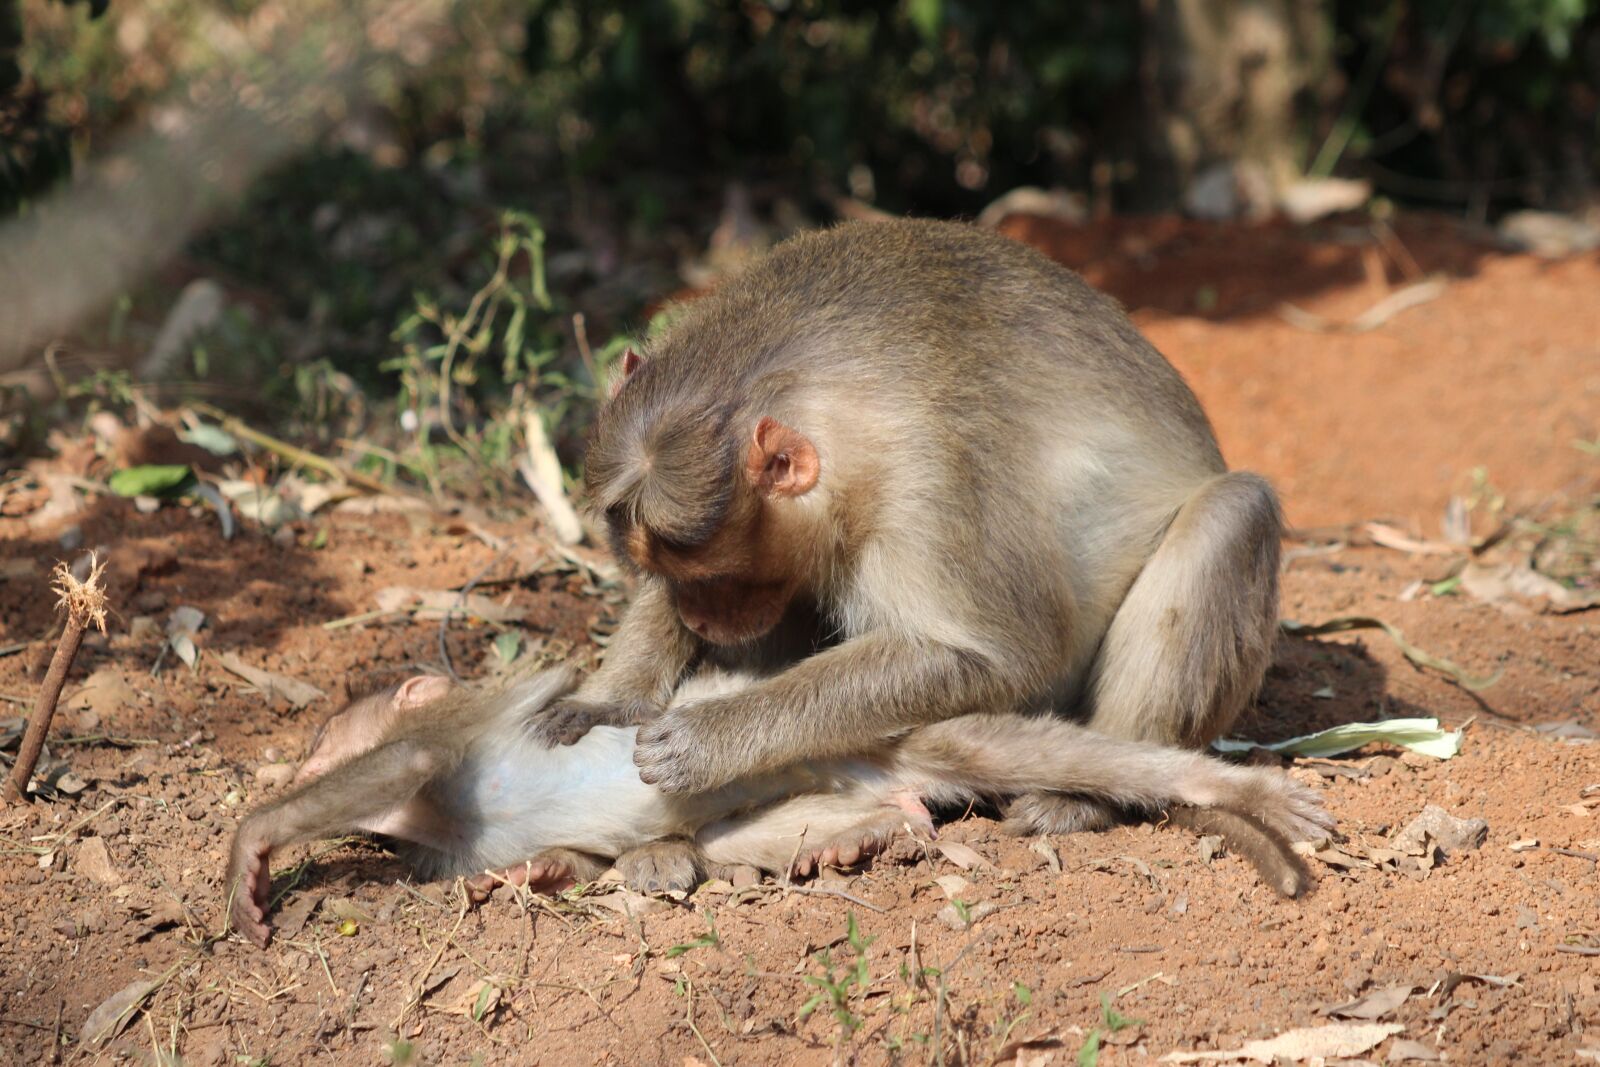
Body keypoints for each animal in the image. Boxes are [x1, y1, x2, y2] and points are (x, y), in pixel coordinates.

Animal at [225, 667, 1334, 948]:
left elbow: (409, 752)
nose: (300, 751)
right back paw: (871, 835)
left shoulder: (453, 730)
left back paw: (1227, 786)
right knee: (736, 831)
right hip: (836, 774)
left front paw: (256, 837)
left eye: (321, 740)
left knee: (1015, 747)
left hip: (891, 730)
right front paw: (546, 868)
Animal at [530, 218, 1286, 881]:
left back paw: (1080, 796)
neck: (826, 400)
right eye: (665, 571)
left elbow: (999, 655)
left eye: (719, 578)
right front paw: (608, 702)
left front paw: (710, 737)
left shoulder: (928, 488)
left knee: (1231, 513)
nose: (699, 618)